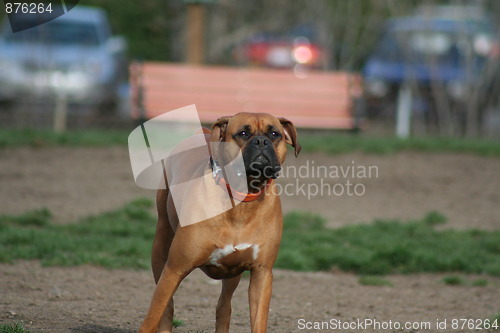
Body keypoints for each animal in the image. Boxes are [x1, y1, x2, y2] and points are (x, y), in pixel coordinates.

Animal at [138, 112, 300, 332]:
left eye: (274, 134)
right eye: (243, 133)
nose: (261, 141)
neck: (242, 198)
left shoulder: (262, 274)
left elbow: (257, 321)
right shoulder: (174, 269)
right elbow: (153, 315)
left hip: (233, 274)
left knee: (224, 305)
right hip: (161, 248)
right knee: (167, 306)